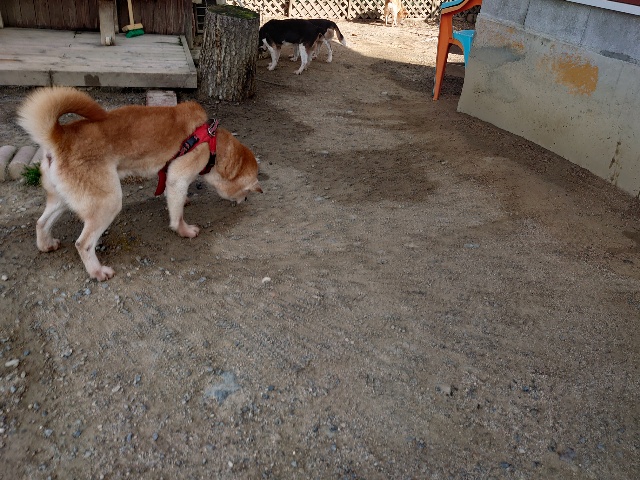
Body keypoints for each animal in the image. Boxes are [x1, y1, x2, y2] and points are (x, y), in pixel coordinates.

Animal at [17, 86, 262, 281]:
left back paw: (46, 245)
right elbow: (177, 216)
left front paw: (185, 201)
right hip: (108, 203)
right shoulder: (177, 179)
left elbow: (176, 200)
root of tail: (59, 138)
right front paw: (184, 231)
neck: (211, 142)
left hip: (62, 199)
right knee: (83, 244)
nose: (245, 200)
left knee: (41, 223)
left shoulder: (172, 180)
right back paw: (98, 272)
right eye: (246, 191)